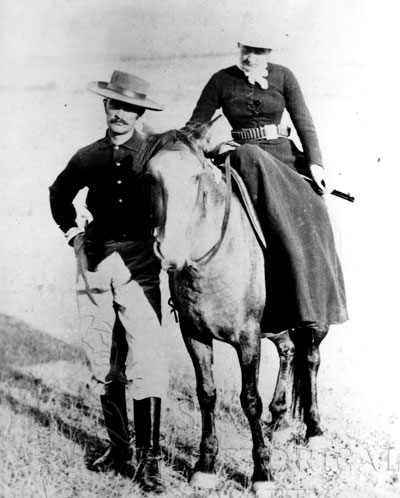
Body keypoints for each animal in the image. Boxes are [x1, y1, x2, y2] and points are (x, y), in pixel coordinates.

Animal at [139, 128, 330, 494]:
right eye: (150, 177)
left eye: (197, 177)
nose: (169, 252)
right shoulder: (194, 335)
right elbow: (206, 394)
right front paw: (205, 466)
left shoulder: (248, 338)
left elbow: (250, 400)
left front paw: (262, 473)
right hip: (276, 326)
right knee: (288, 351)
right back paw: (280, 421)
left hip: (315, 319)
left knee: (311, 359)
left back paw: (314, 430)